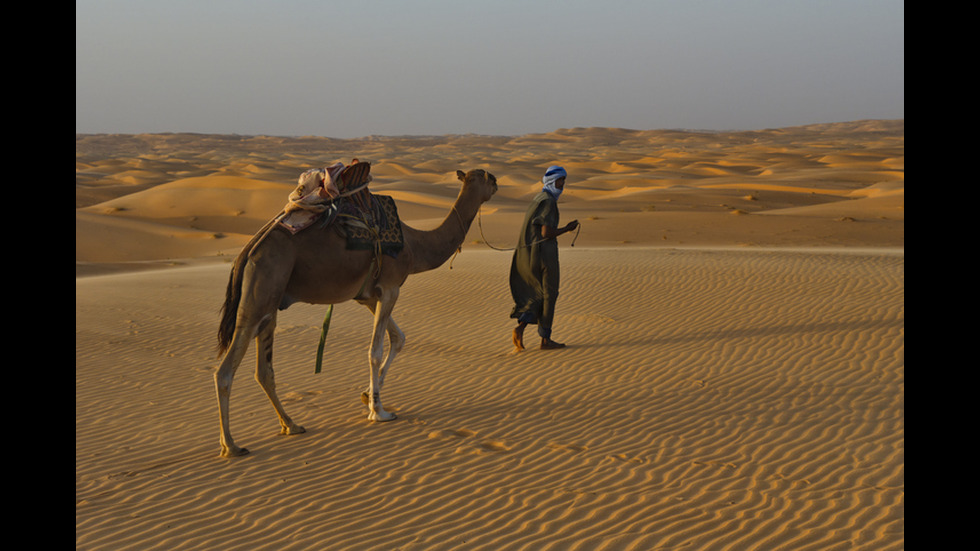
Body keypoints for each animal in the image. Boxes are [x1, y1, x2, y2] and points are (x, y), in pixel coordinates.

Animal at [214, 167, 498, 458]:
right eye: (487, 177)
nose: (497, 183)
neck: (415, 245)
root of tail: (248, 250)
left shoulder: (370, 296)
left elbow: (398, 338)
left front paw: (368, 395)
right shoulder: (391, 287)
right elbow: (375, 351)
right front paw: (379, 411)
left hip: (270, 306)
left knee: (264, 371)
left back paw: (291, 425)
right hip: (258, 297)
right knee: (225, 371)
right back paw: (231, 445)